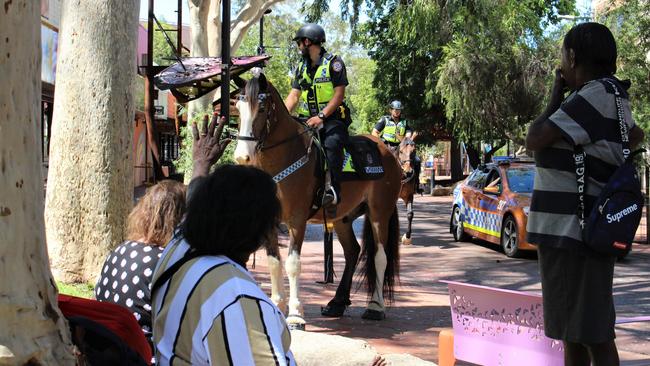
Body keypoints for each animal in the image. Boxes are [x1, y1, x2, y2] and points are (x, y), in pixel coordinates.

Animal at [230, 71, 398, 328]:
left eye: (261, 108)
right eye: (238, 108)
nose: (242, 157)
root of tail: (387, 152)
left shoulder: (297, 220)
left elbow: (292, 264)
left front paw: (295, 314)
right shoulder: (270, 221)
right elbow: (274, 262)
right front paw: (277, 305)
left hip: (380, 213)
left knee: (380, 256)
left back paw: (375, 306)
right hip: (342, 218)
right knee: (353, 251)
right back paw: (337, 303)